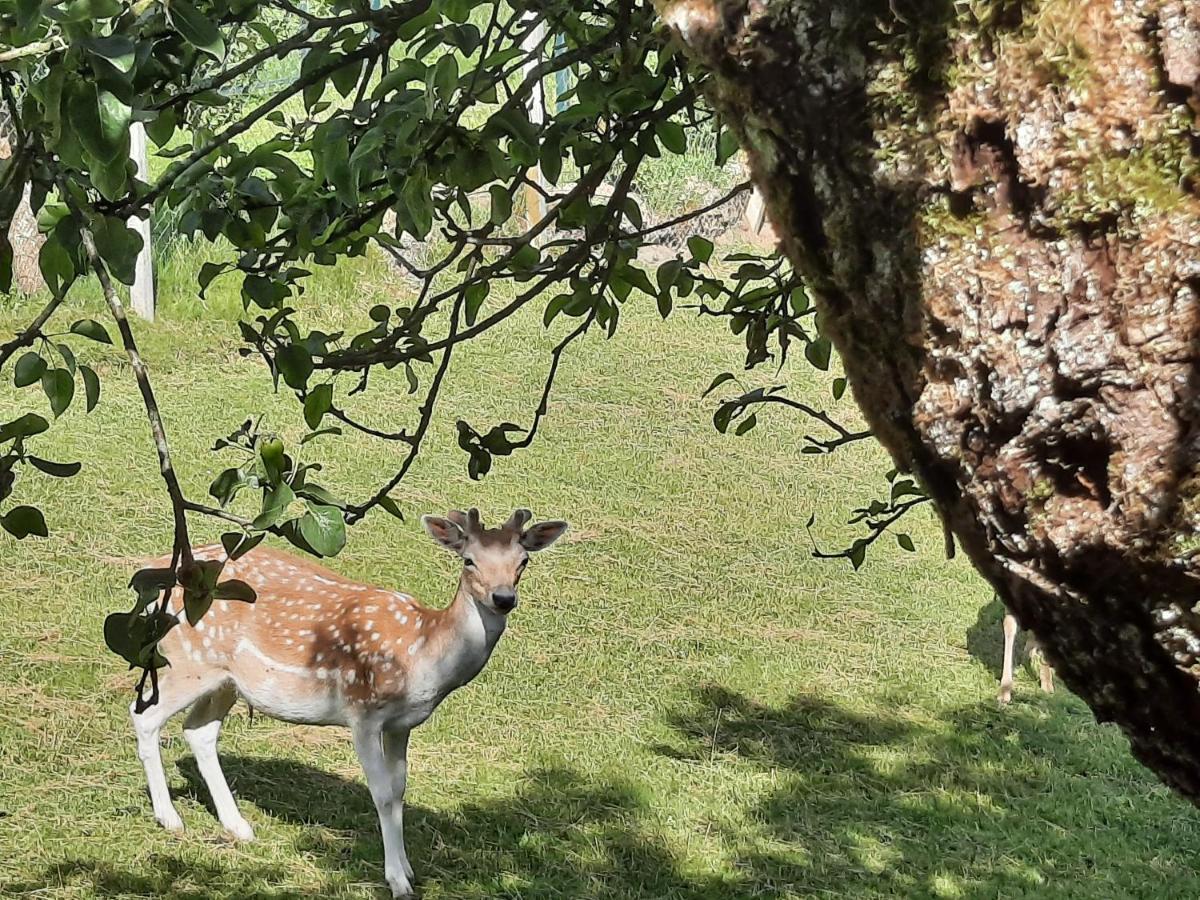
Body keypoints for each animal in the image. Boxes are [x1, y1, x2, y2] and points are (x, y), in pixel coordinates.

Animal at [131, 511, 566, 897]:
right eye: (469, 559)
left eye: (523, 561)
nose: (503, 598)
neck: (422, 655)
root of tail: (155, 575)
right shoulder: (363, 711)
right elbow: (382, 793)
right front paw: (397, 881)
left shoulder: (402, 724)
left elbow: (400, 789)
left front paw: (409, 868)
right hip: (188, 660)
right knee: (145, 716)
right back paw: (170, 818)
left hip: (226, 680)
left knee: (199, 730)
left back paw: (238, 826)